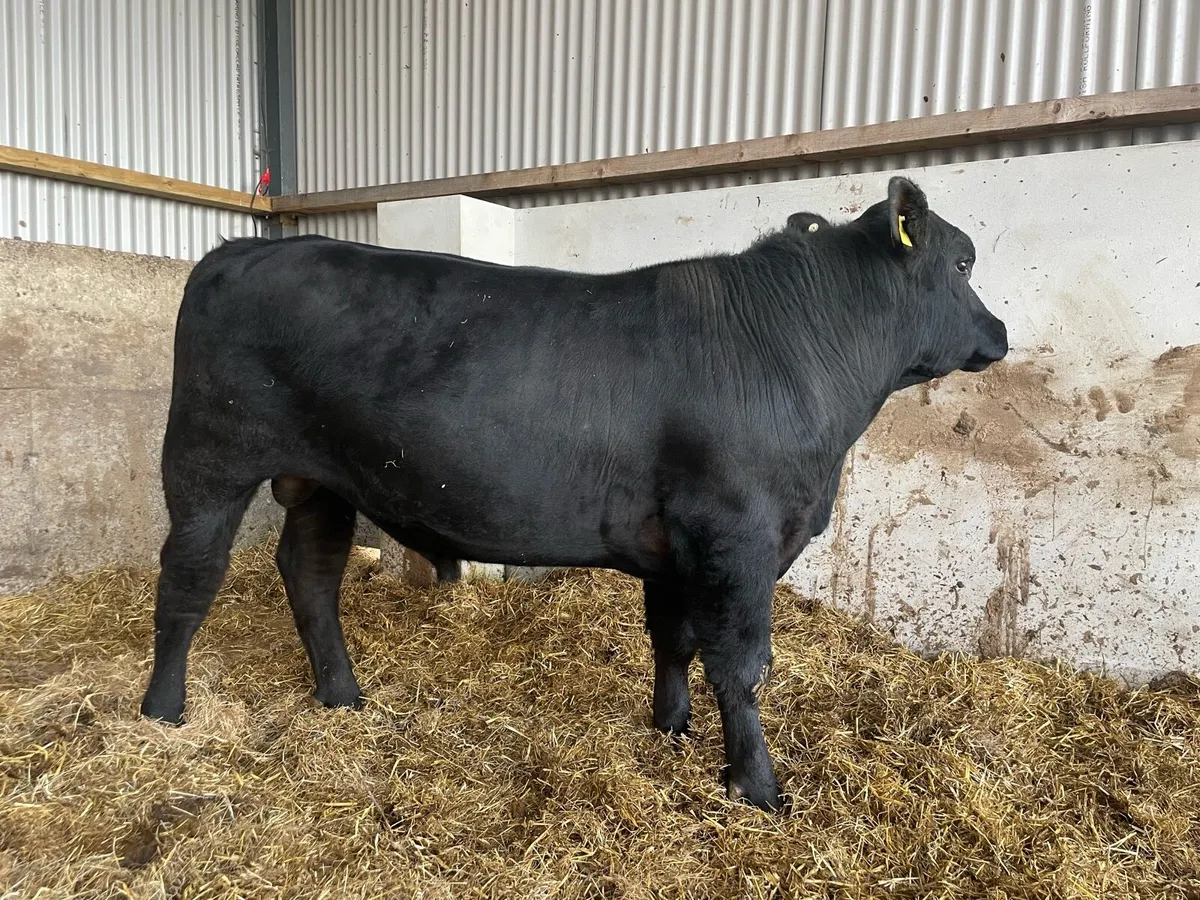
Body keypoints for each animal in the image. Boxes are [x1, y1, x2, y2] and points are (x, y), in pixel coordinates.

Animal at [140, 177, 1007, 812]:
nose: (1000, 333)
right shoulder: (737, 535)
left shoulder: (677, 544)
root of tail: (238, 250)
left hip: (323, 479)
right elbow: (742, 663)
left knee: (311, 574)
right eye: (963, 263)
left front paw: (670, 729)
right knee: (188, 578)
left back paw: (343, 697)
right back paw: (162, 709)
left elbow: (673, 641)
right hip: (206, 458)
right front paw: (756, 786)